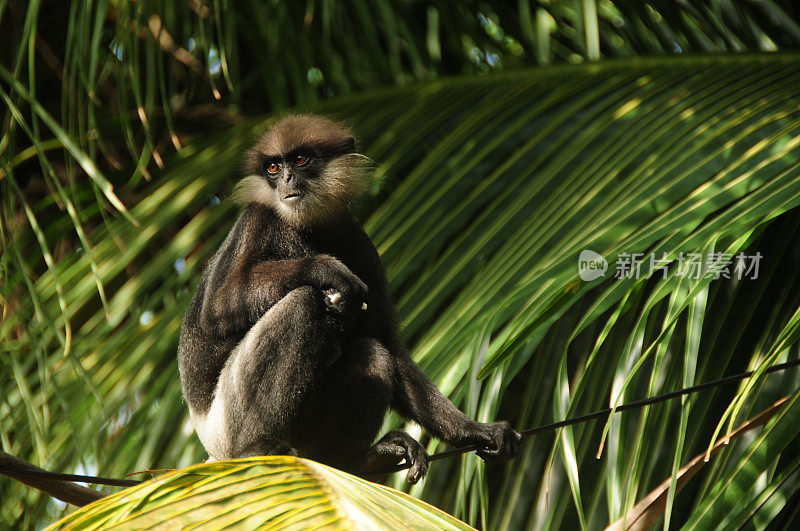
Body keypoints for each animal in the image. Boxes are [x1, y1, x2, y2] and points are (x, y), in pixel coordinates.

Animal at [178, 114, 520, 484]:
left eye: (300, 160)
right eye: (273, 167)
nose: (285, 179)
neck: (308, 228)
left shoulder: (357, 238)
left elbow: (386, 342)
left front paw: (473, 430)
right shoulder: (260, 217)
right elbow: (217, 307)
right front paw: (327, 270)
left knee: (374, 355)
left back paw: (349, 461)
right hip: (226, 419)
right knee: (303, 303)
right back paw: (257, 449)